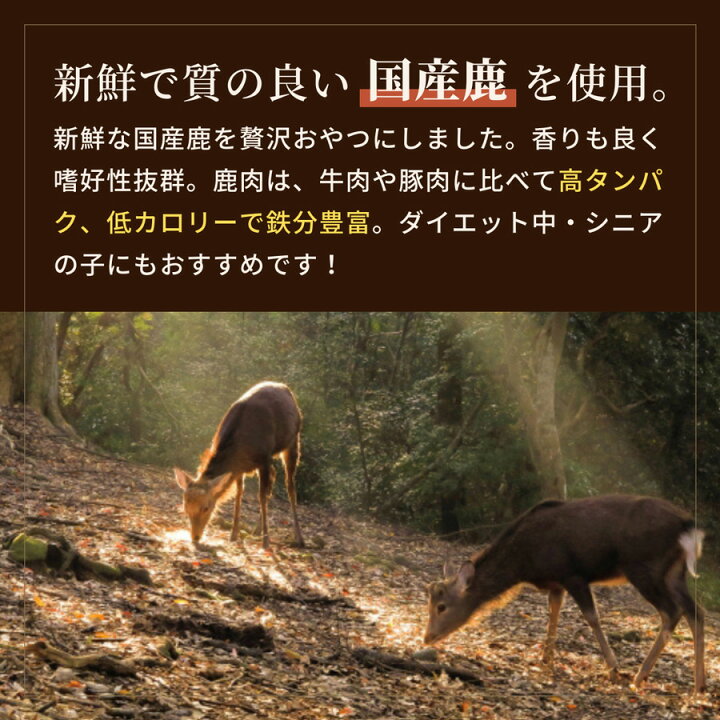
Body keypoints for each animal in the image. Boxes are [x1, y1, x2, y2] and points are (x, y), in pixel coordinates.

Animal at [173, 381, 304, 549]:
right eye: (185, 506)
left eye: (206, 507)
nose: (195, 537)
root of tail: (284, 387)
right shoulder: (239, 468)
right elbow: (239, 494)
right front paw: (233, 535)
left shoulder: (264, 458)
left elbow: (261, 496)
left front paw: (266, 541)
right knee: (274, 476)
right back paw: (257, 530)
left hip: (293, 440)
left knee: (290, 487)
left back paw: (299, 538)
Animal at [424, 495, 706, 692]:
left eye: (441, 606)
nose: (427, 637)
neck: (524, 563)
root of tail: (688, 527)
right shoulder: (556, 582)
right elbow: (553, 612)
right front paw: (545, 658)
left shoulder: (573, 574)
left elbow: (592, 617)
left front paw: (613, 668)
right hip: (674, 573)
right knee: (695, 611)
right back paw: (699, 685)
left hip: (645, 567)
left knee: (672, 611)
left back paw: (640, 675)